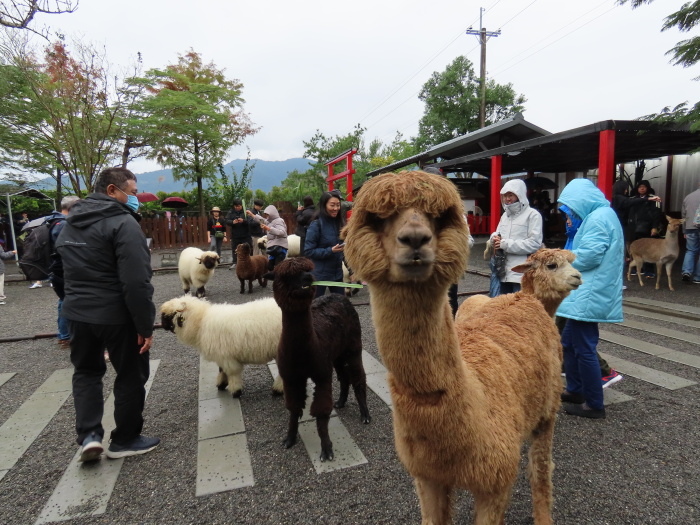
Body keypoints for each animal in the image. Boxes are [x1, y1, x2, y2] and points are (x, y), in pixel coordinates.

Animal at [264, 256, 372, 460]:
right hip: (336, 354)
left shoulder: (321, 374)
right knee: (344, 376)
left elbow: (322, 412)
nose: (308, 277)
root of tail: (340, 296)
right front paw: (289, 439)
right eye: (287, 275)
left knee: (357, 377)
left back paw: (365, 415)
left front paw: (326, 448)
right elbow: (293, 408)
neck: (303, 354)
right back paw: (341, 402)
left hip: (353, 346)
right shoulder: (292, 377)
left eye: (308, 269)